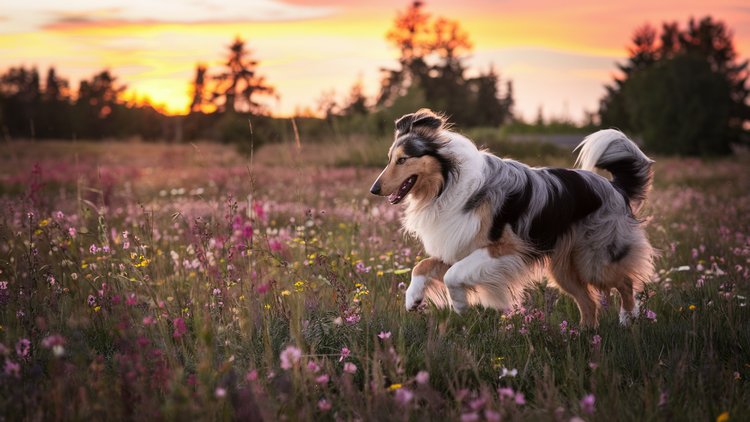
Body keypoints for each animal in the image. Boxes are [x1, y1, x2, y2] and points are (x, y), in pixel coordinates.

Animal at [374, 109, 656, 326]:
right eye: (389, 159)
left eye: (402, 159)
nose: (374, 189)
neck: (448, 182)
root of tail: (616, 188)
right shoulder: (461, 244)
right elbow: (422, 266)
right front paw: (413, 298)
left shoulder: (505, 248)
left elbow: (451, 275)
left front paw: (460, 304)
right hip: (564, 269)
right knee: (589, 303)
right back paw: (585, 337)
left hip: (594, 260)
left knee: (626, 282)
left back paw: (627, 319)